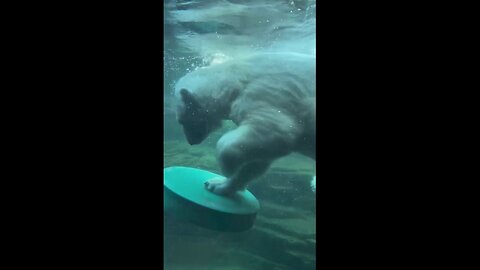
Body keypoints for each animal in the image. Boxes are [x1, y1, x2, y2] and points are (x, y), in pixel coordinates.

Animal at [173, 52, 316, 196]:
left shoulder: (269, 92)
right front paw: (217, 184)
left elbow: (277, 130)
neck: (236, 78)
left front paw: (227, 168)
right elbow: (258, 160)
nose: (191, 141)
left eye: (181, 121)